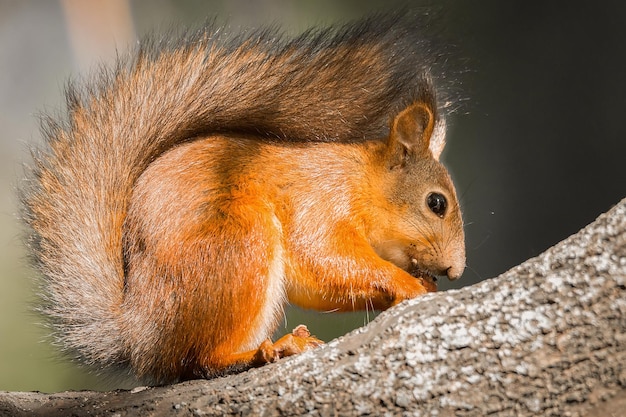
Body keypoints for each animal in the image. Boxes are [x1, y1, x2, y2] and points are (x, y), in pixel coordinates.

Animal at [22, 14, 464, 384]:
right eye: (436, 203)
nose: (456, 270)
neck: (363, 181)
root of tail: (139, 335)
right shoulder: (321, 201)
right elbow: (325, 255)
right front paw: (406, 282)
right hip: (239, 242)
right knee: (197, 361)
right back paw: (267, 350)